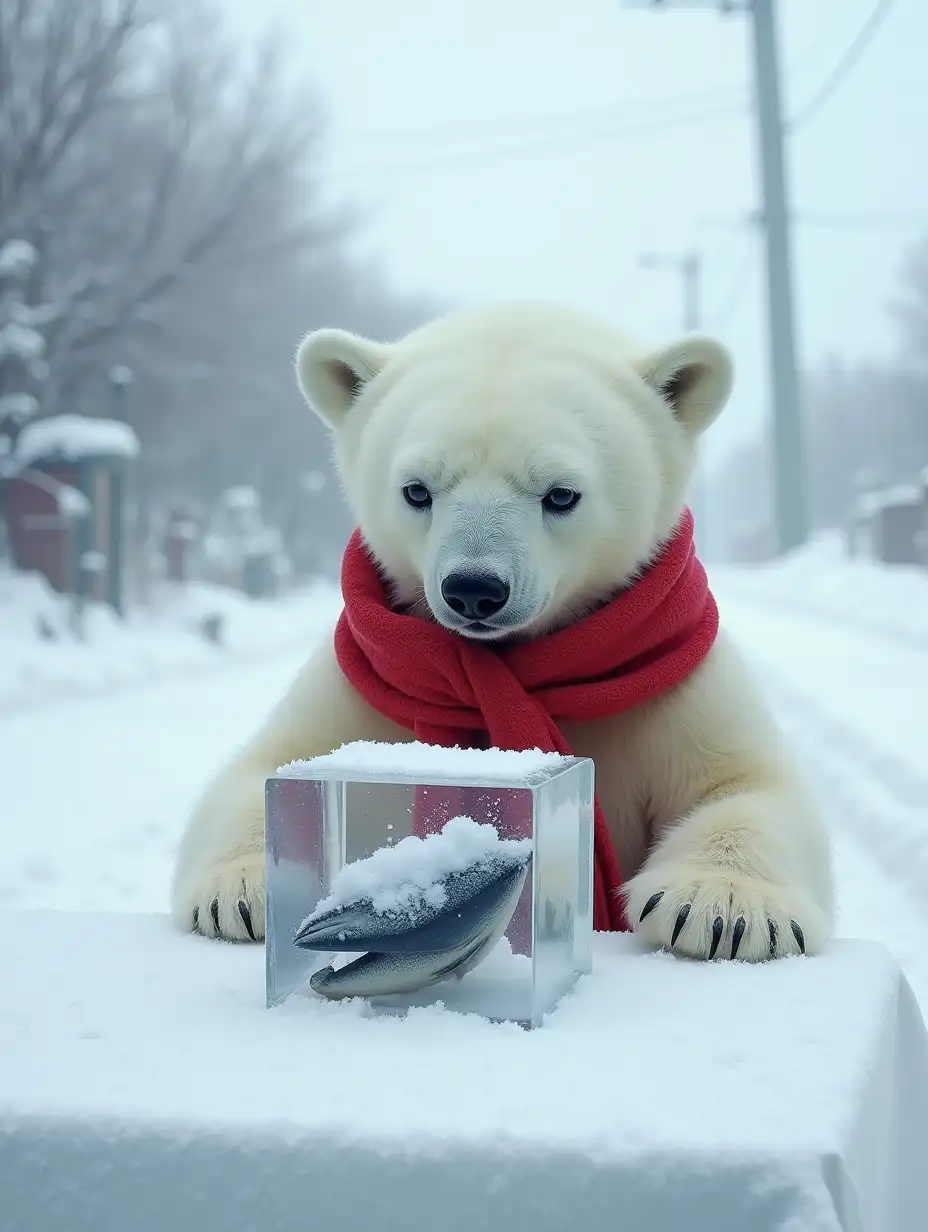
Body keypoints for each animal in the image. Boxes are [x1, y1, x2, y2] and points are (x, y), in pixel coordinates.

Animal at [172, 300, 833, 960]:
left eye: (561, 494)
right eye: (417, 490)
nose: (474, 589)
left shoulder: (672, 690)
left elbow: (749, 783)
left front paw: (721, 909)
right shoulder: (365, 687)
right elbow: (270, 765)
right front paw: (245, 893)